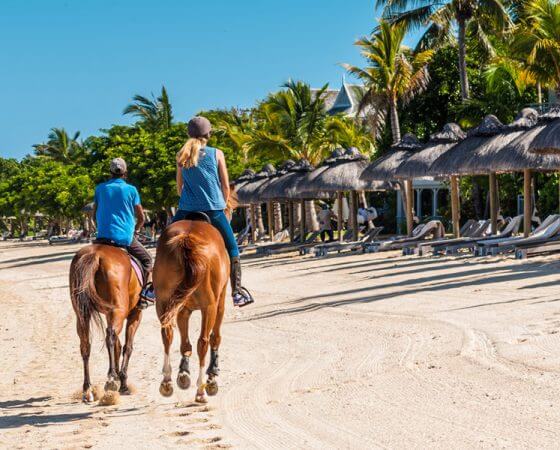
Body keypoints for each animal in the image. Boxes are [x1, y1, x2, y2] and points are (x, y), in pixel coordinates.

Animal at [69, 244, 143, 402]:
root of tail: (95, 254)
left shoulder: (110, 315)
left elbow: (118, 347)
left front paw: (121, 381)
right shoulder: (135, 314)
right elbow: (127, 347)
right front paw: (123, 383)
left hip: (83, 314)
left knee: (86, 345)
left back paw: (88, 389)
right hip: (118, 310)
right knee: (110, 337)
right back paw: (112, 378)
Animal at [153, 220, 228, 402]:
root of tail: (187, 238)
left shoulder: (182, 310)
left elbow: (185, 344)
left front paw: (183, 374)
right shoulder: (219, 303)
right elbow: (215, 338)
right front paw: (212, 376)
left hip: (164, 303)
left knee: (167, 334)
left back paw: (167, 381)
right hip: (210, 307)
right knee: (204, 342)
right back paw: (201, 389)